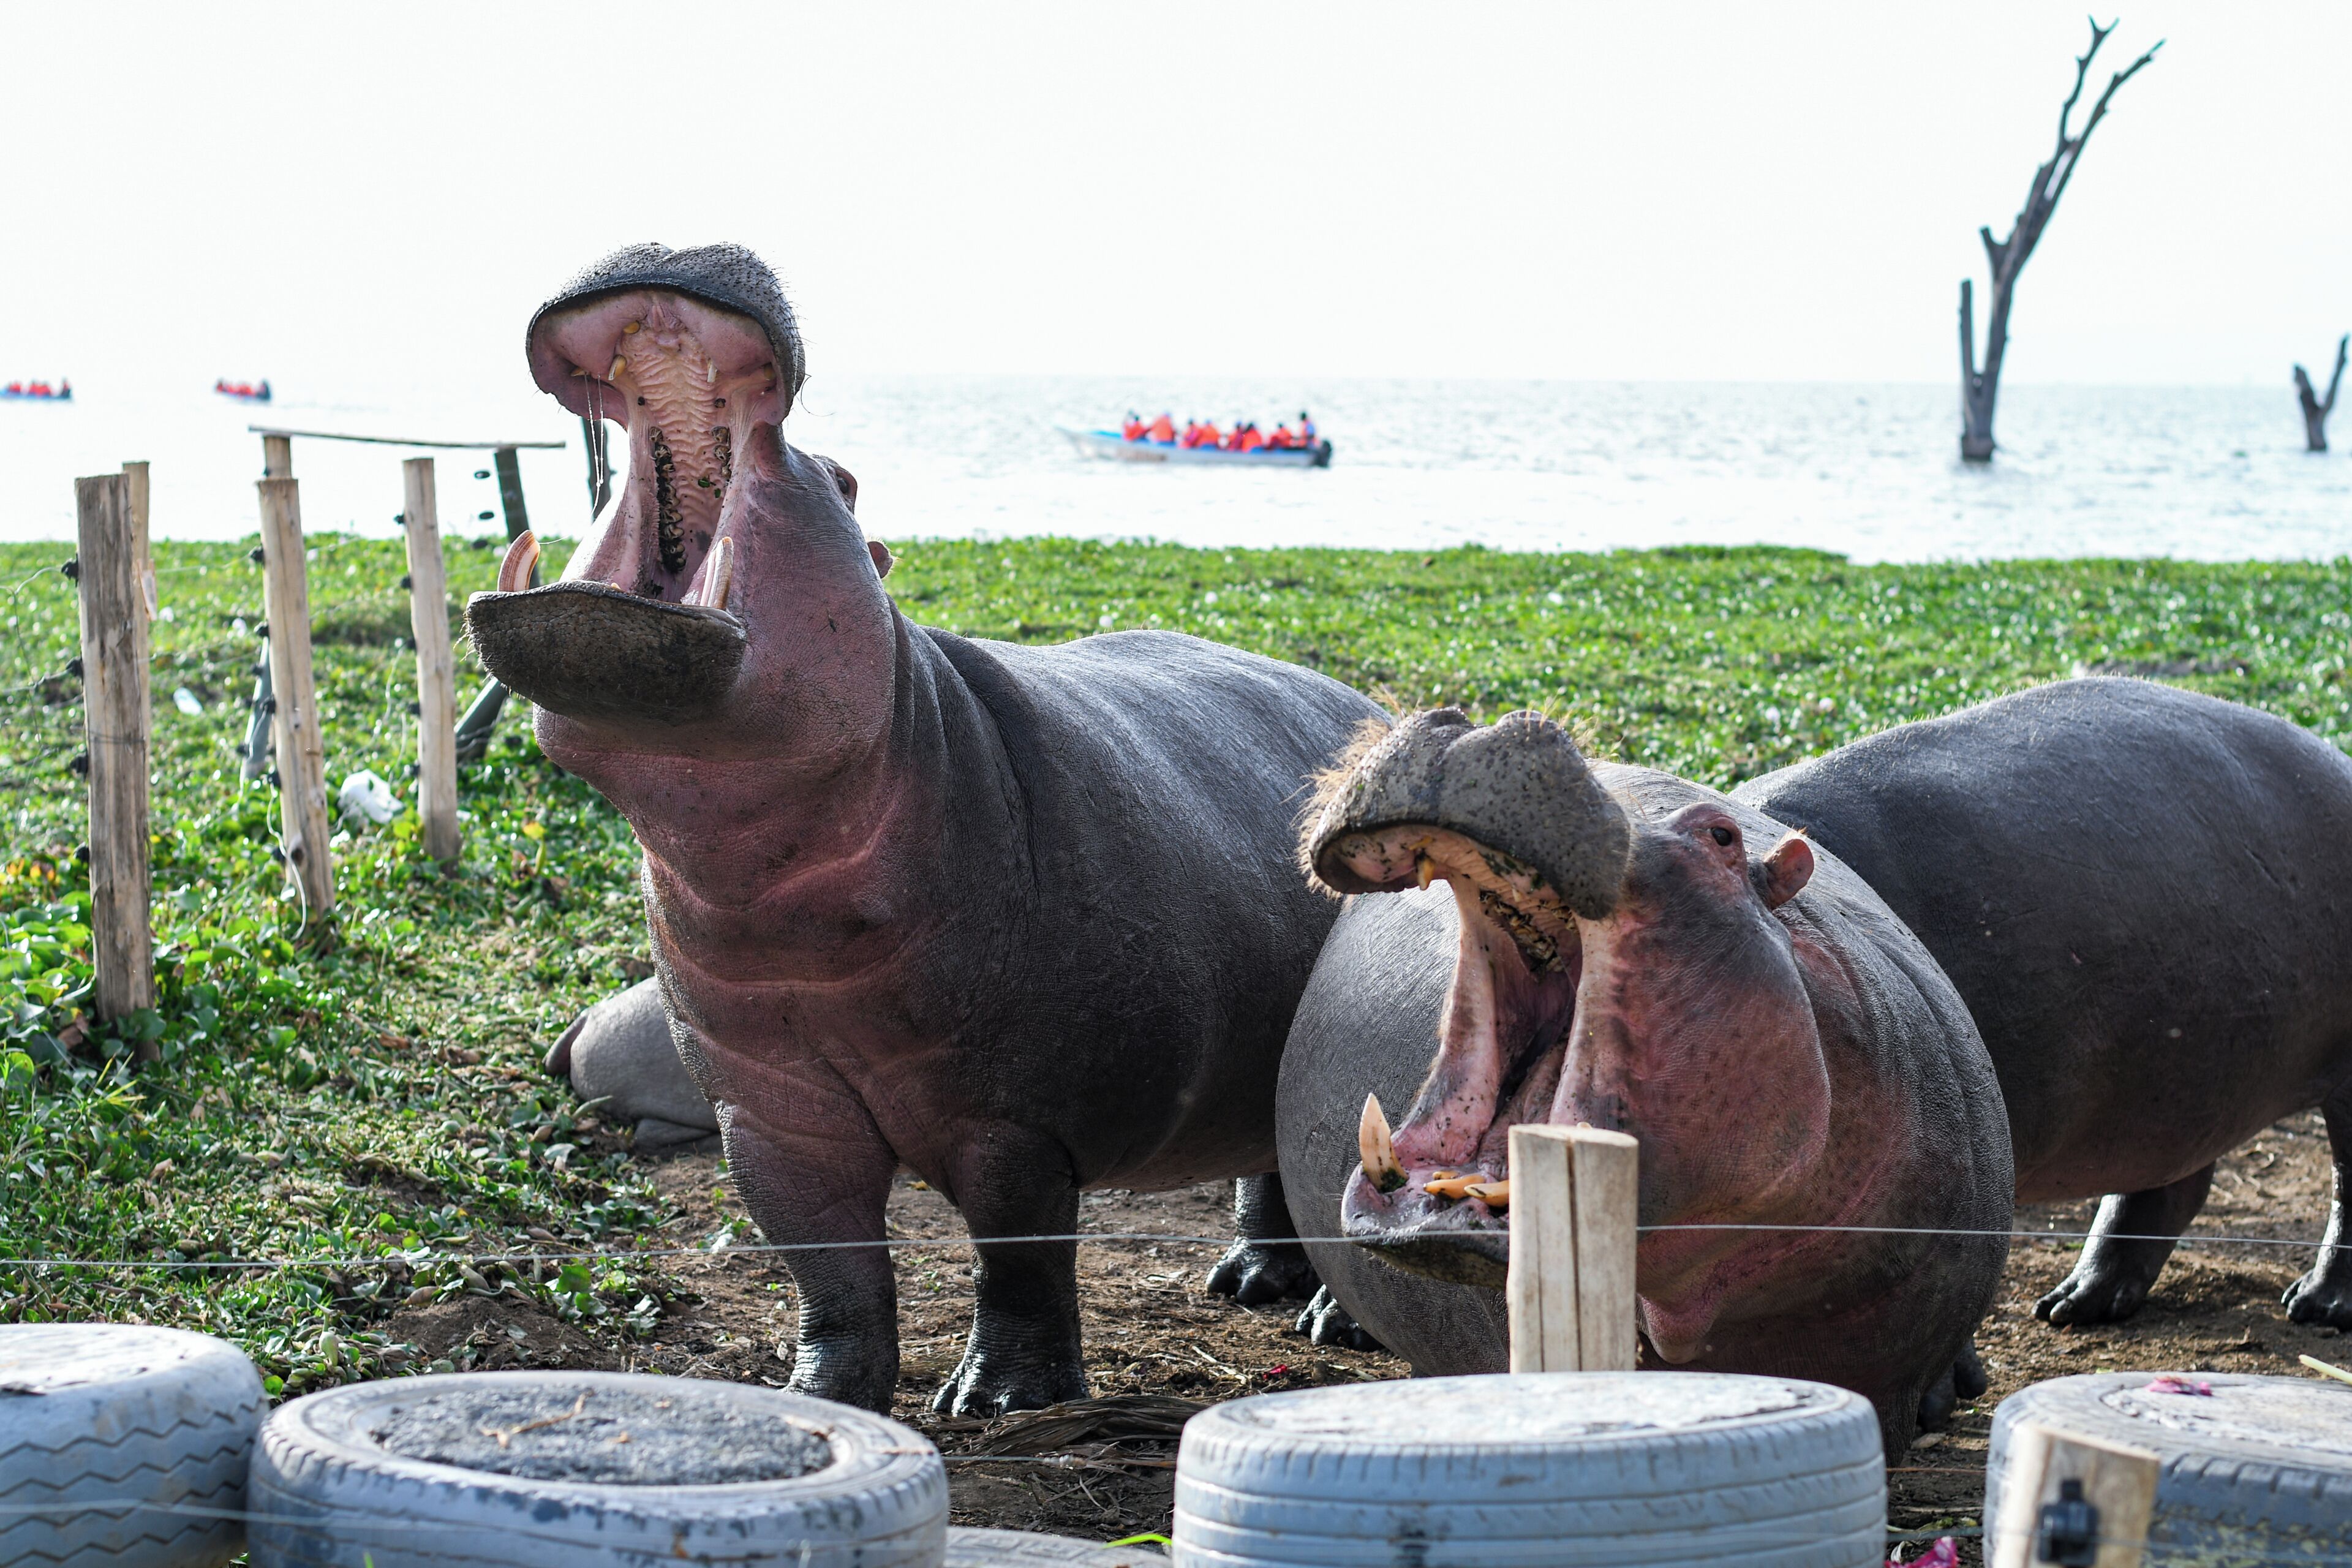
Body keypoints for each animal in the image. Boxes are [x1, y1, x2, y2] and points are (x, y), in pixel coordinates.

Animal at [466, 243, 1382, 1415]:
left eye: (847, 480)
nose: (668, 240)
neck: (768, 879)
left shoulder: (1011, 1118)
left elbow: (1017, 1253)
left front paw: (998, 1399)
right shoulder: (772, 1117)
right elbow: (826, 1265)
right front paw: (820, 1395)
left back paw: (1331, 1324)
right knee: (1267, 1165)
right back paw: (1251, 1285)